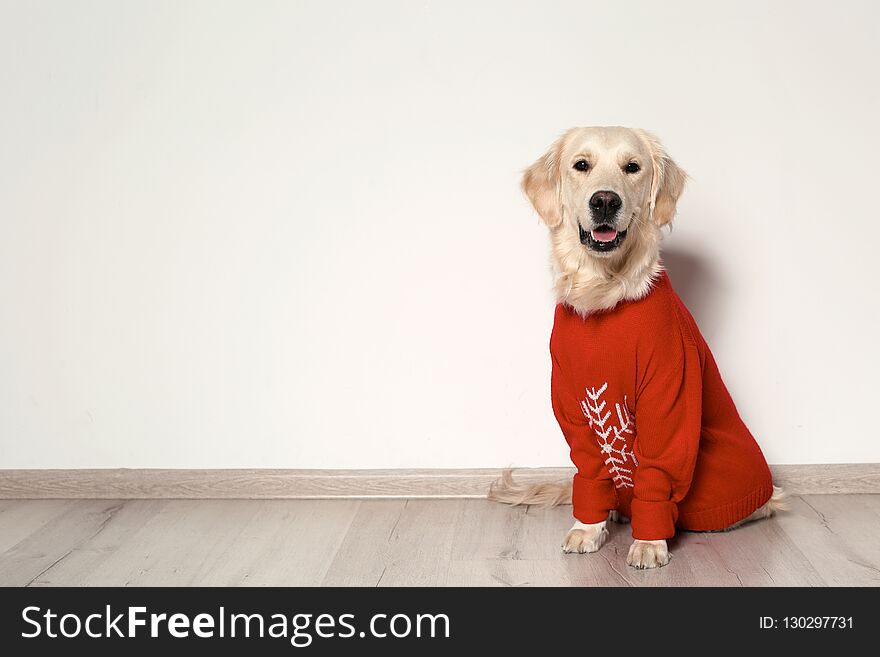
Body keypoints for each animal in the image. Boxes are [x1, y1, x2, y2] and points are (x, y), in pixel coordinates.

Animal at [492, 128, 788, 568]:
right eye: (581, 165)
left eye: (632, 167)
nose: (605, 200)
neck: (604, 293)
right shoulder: (571, 402)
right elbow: (591, 469)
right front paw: (588, 527)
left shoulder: (669, 391)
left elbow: (656, 471)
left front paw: (649, 541)